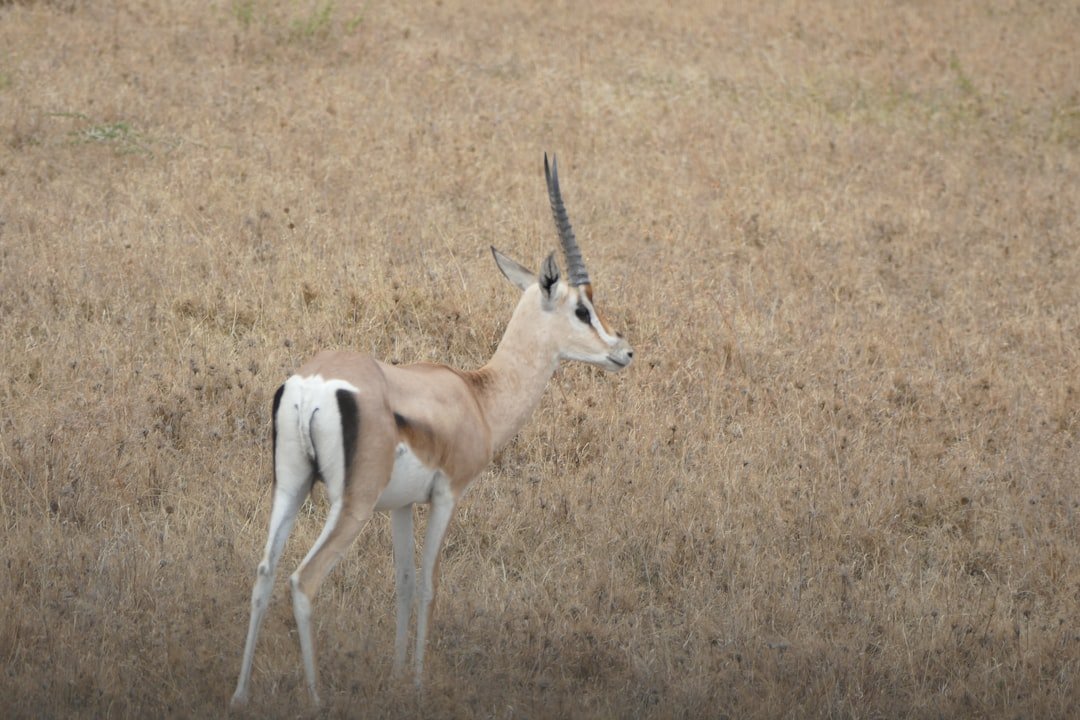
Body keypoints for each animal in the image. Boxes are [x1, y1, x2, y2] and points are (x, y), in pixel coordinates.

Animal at [230, 154, 633, 707]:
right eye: (581, 309)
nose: (624, 350)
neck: (477, 395)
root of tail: (312, 384)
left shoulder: (399, 506)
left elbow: (401, 582)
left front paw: (398, 675)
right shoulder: (447, 496)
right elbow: (427, 584)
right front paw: (419, 682)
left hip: (290, 487)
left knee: (265, 572)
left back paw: (240, 695)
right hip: (350, 506)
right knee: (303, 580)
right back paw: (316, 699)